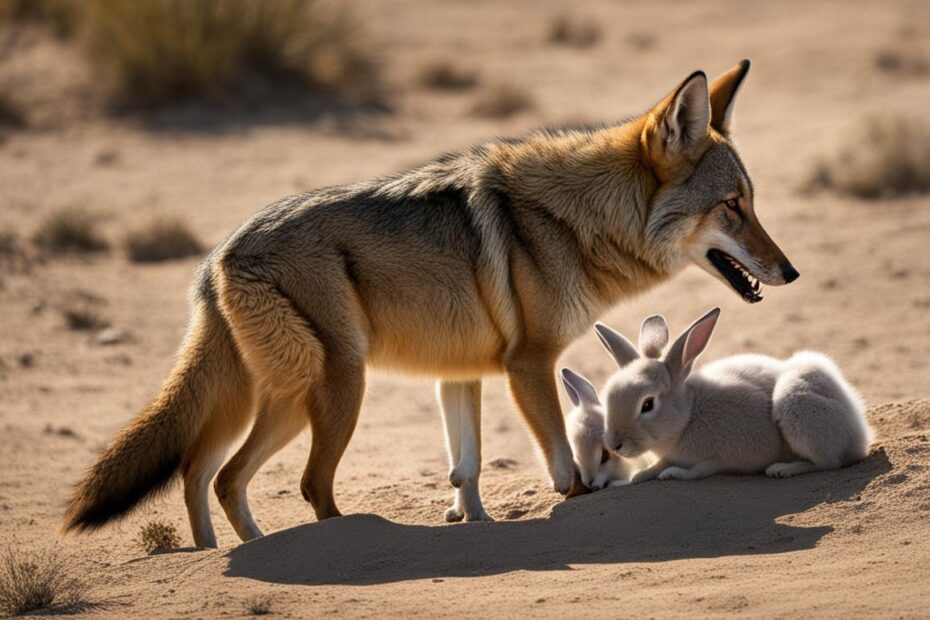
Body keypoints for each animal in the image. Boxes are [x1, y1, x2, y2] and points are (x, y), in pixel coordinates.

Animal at [594, 308, 873, 483]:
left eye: (647, 404)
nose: (615, 444)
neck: (688, 415)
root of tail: (860, 433)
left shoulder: (741, 453)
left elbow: (705, 467)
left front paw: (677, 474)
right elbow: (656, 467)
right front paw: (640, 475)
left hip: (794, 403)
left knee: (828, 462)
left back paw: (782, 469)